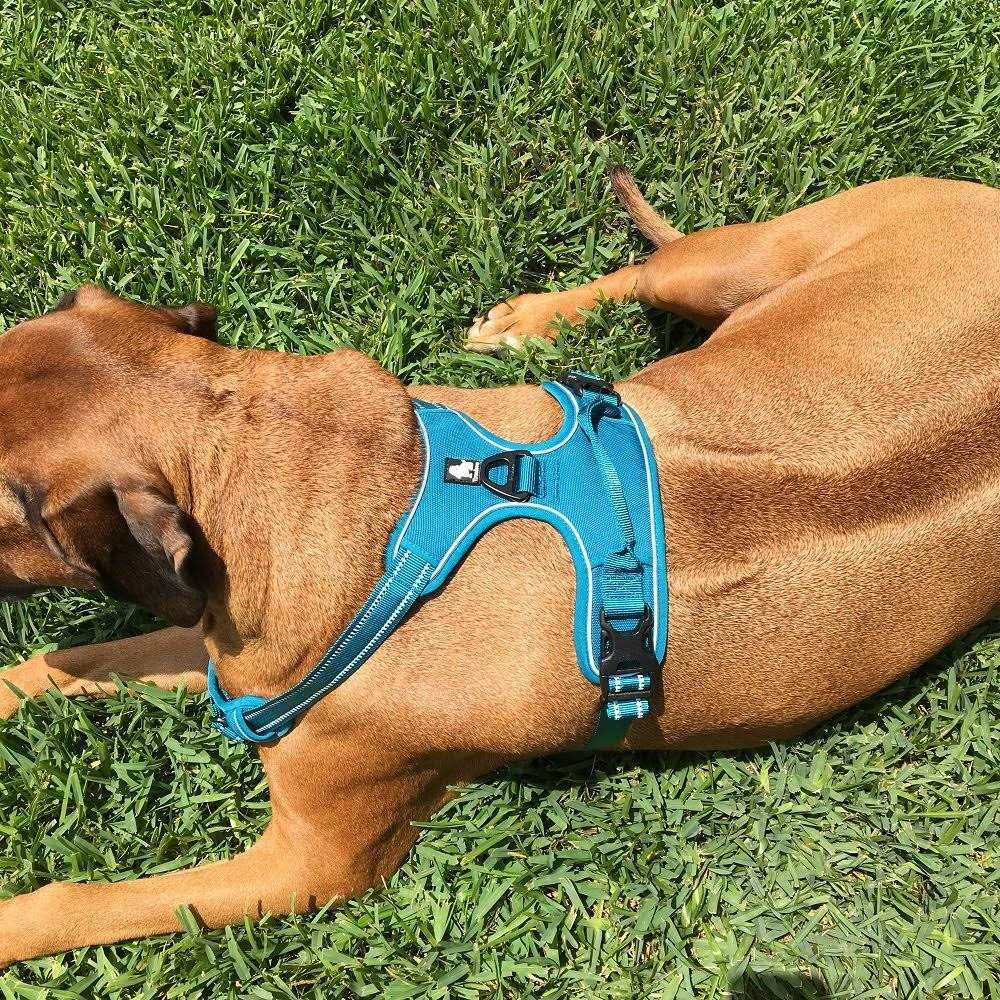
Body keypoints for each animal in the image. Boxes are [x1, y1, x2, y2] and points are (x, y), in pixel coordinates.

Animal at [1, 173, 999, 965]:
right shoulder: (221, 643)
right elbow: (70, 661)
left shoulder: (311, 865)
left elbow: (74, 903)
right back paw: (532, 324)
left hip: (746, 259)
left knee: (655, 269)